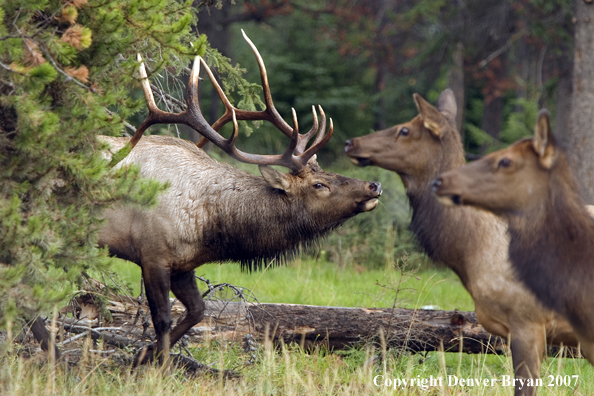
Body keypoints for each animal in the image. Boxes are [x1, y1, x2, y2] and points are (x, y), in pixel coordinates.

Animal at [97, 33, 380, 366]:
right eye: (319, 184)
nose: (374, 185)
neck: (209, 227)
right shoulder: (152, 253)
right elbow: (163, 320)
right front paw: (154, 366)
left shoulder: (183, 264)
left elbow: (197, 312)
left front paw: (143, 355)